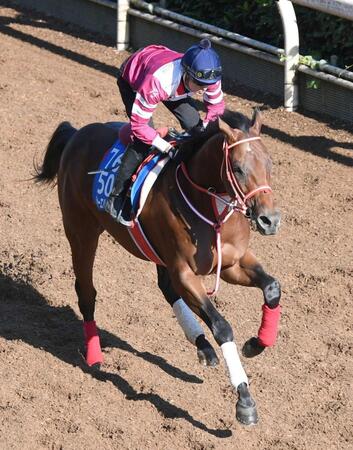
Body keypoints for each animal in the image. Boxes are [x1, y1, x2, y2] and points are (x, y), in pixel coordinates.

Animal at [35, 110, 280, 426]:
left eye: (270, 163)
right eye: (237, 168)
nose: (269, 220)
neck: (210, 207)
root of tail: (77, 133)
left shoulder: (231, 264)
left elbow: (272, 287)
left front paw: (256, 344)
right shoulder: (184, 271)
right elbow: (222, 326)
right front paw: (245, 400)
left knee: (166, 288)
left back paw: (202, 345)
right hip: (81, 232)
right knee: (86, 292)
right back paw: (94, 356)